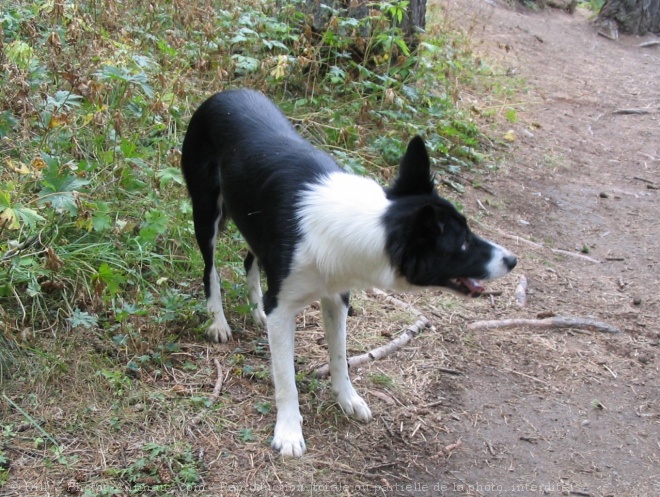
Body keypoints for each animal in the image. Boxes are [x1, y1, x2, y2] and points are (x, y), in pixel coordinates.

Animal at [180, 89, 516, 458]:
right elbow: (286, 378)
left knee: (249, 262)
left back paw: (256, 310)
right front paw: (289, 431)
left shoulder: (336, 297)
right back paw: (218, 322)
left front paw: (347, 399)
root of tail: (223, 94)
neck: (365, 225)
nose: (513, 260)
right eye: (464, 245)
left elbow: (340, 356)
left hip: (252, 224)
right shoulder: (284, 306)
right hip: (206, 211)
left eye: (469, 232)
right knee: (209, 271)